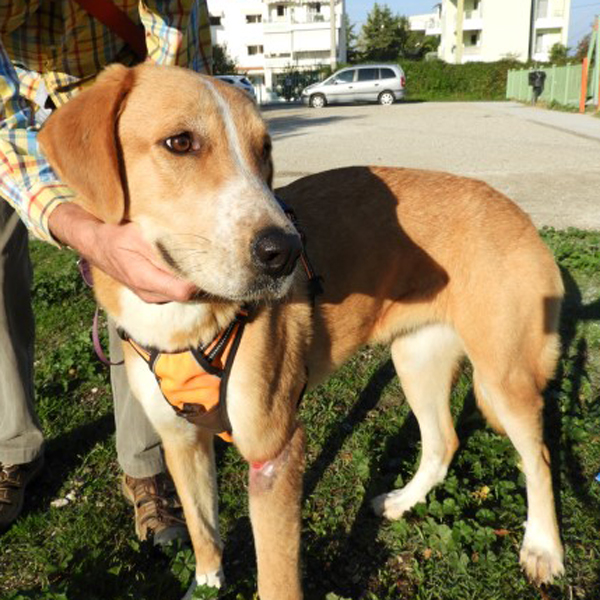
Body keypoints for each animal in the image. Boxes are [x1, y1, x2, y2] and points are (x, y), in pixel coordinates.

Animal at [39, 63, 565, 599]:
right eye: (180, 142)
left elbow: (276, 578)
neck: (182, 320)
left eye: (264, 150)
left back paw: (544, 549)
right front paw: (206, 583)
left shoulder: (275, 452)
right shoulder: (181, 440)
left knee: (539, 456)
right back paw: (404, 501)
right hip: (416, 360)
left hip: (505, 377)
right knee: (444, 443)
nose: (286, 252)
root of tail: (518, 212)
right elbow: (204, 532)